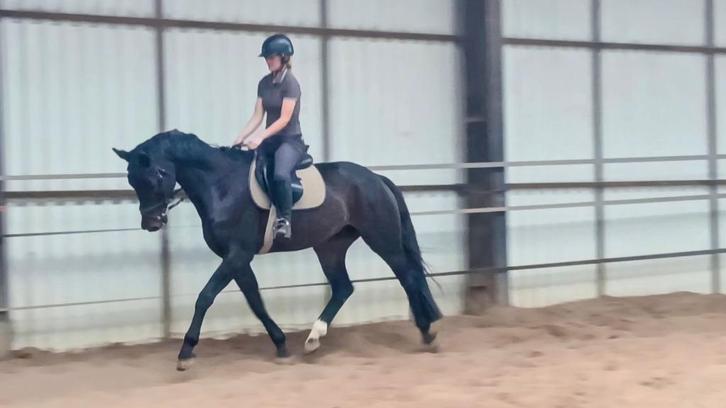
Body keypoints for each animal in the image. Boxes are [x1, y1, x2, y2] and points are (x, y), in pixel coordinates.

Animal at [112, 130, 442, 370]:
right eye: (131, 179)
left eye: (157, 173)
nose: (151, 223)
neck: (221, 186)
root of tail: (376, 178)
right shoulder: (237, 258)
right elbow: (255, 301)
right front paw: (281, 344)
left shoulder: (237, 254)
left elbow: (205, 297)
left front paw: (185, 351)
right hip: (330, 246)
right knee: (343, 288)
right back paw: (313, 338)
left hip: (382, 239)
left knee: (408, 277)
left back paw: (427, 333)